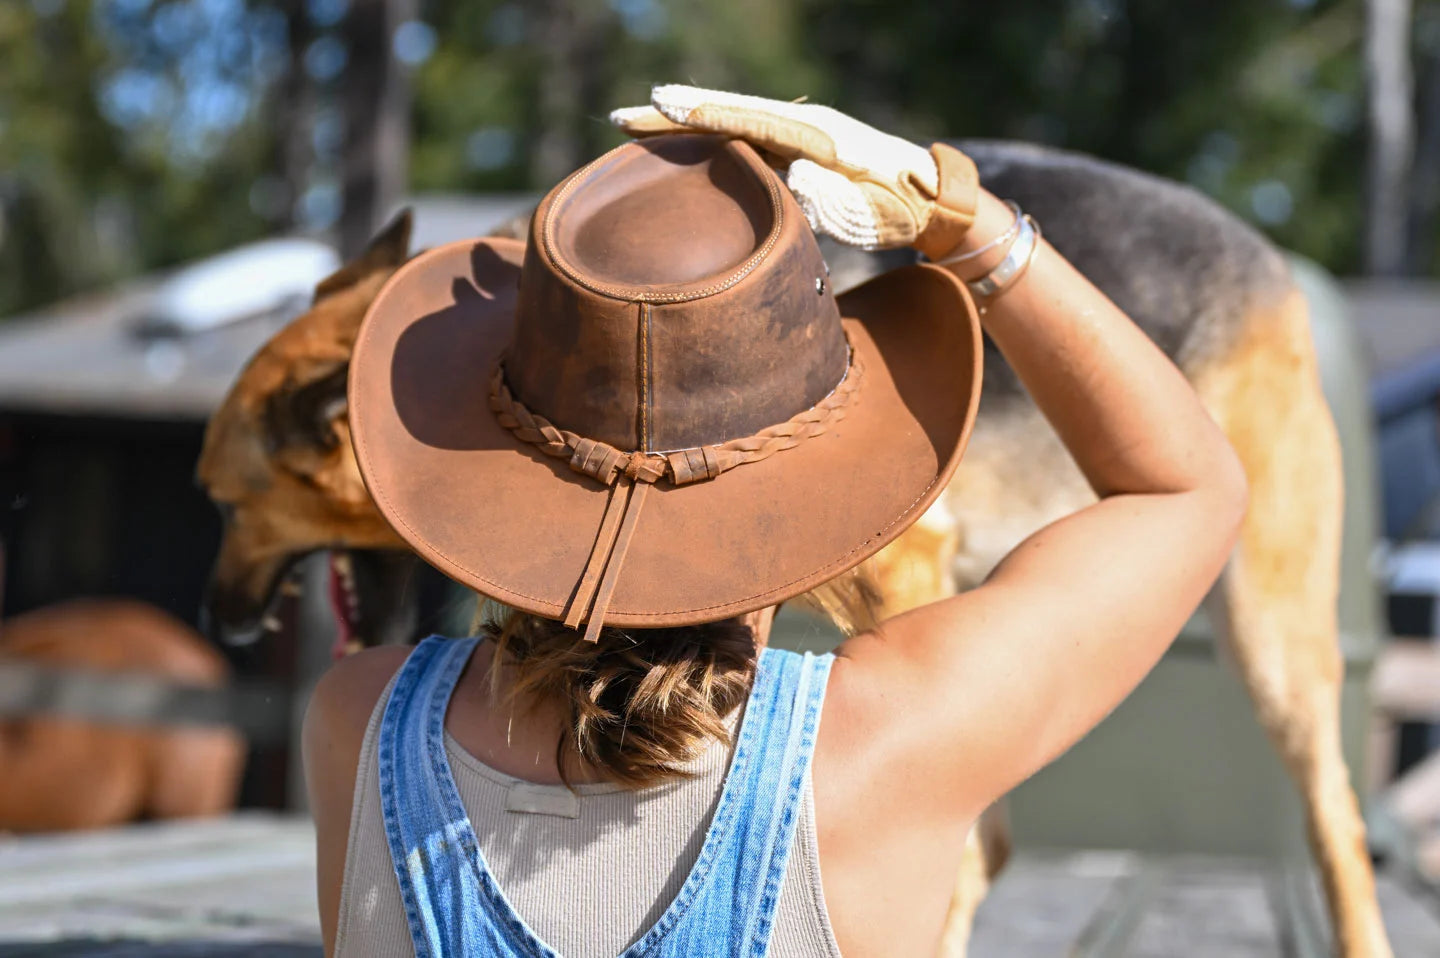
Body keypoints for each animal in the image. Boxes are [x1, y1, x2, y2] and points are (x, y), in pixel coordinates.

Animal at [197, 141, 1388, 956]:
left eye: (224, 501)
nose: (217, 621)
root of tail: (1261, 251)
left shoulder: (906, 585)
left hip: (1272, 632)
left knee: (1333, 821)